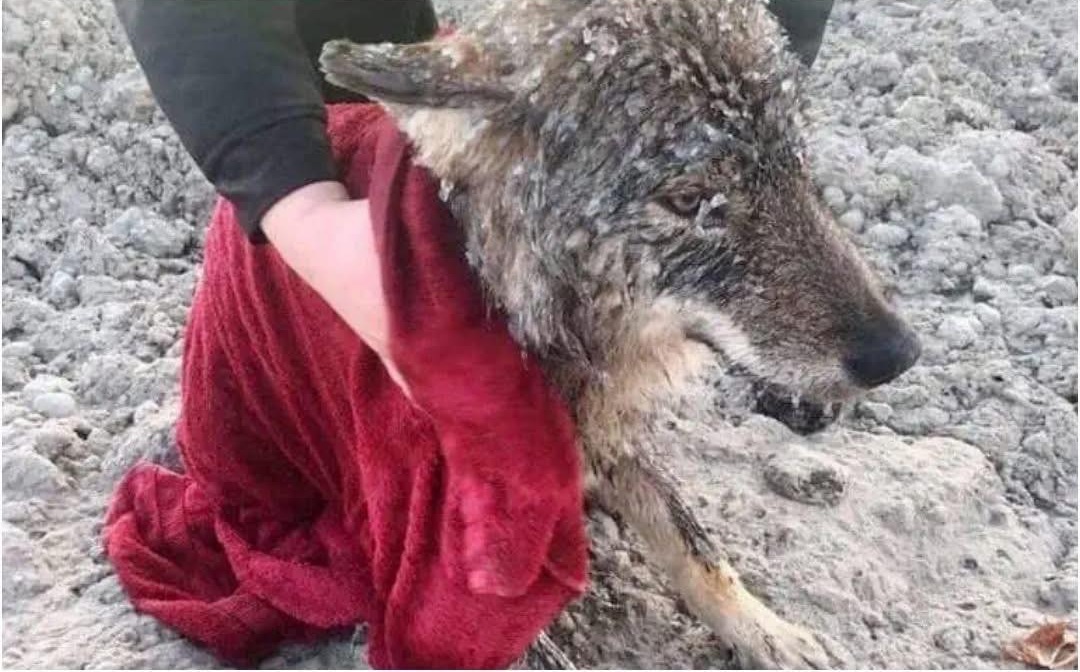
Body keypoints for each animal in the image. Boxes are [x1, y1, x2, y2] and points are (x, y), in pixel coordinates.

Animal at [320, 0, 921, 667]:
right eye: (690, 199)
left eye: (796, 163)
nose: (898, 353)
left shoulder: (618, 430)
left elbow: (696, 546)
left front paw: (769, 631)